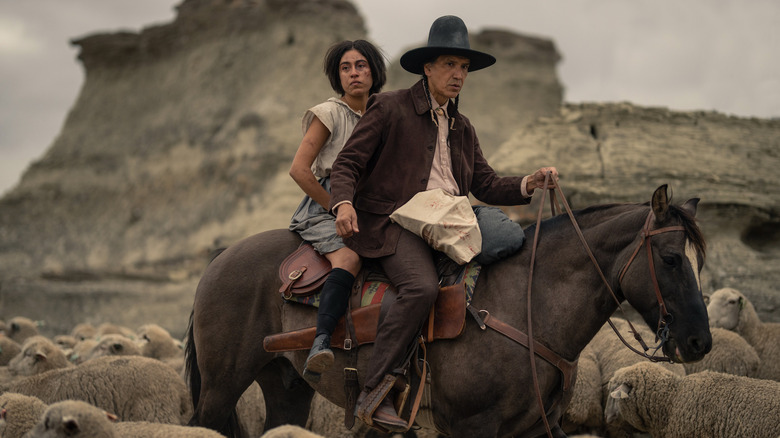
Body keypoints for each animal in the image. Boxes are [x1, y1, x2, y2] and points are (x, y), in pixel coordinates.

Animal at [184, 185, 712, 438]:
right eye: (670, 259)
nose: (699, 342)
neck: (527, 305)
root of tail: (218, 260)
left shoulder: (534, 427)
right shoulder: (472, 428)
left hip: (286, 387)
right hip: (220, 388)